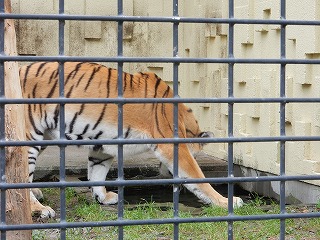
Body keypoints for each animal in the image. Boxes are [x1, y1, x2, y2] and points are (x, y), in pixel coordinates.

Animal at [19, 61, 242, 218]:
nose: (164, 174)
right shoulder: (171, 145)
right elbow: (197, 177)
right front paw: (226, 201)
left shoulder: (102, 145)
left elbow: (97, 172)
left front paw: (103, 197)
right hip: (30, 138)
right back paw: (39, 208)